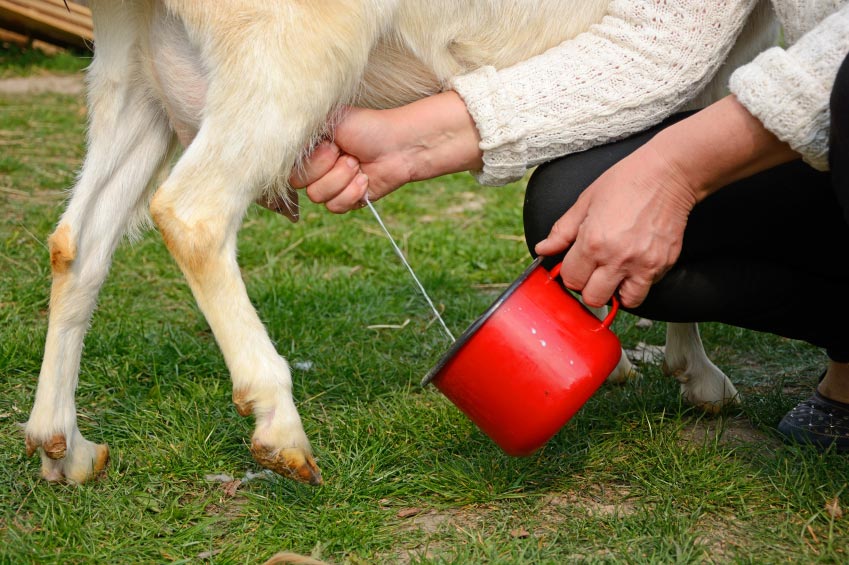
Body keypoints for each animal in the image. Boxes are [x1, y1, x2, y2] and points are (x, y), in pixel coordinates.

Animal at [23, 0, 776, 484]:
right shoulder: (709, 65)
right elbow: (669, 198)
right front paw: (695, 373)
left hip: (133, 68)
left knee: (76, 243)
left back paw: (62, 446)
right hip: (284, 47)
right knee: (192, 211)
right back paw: (278, 423)